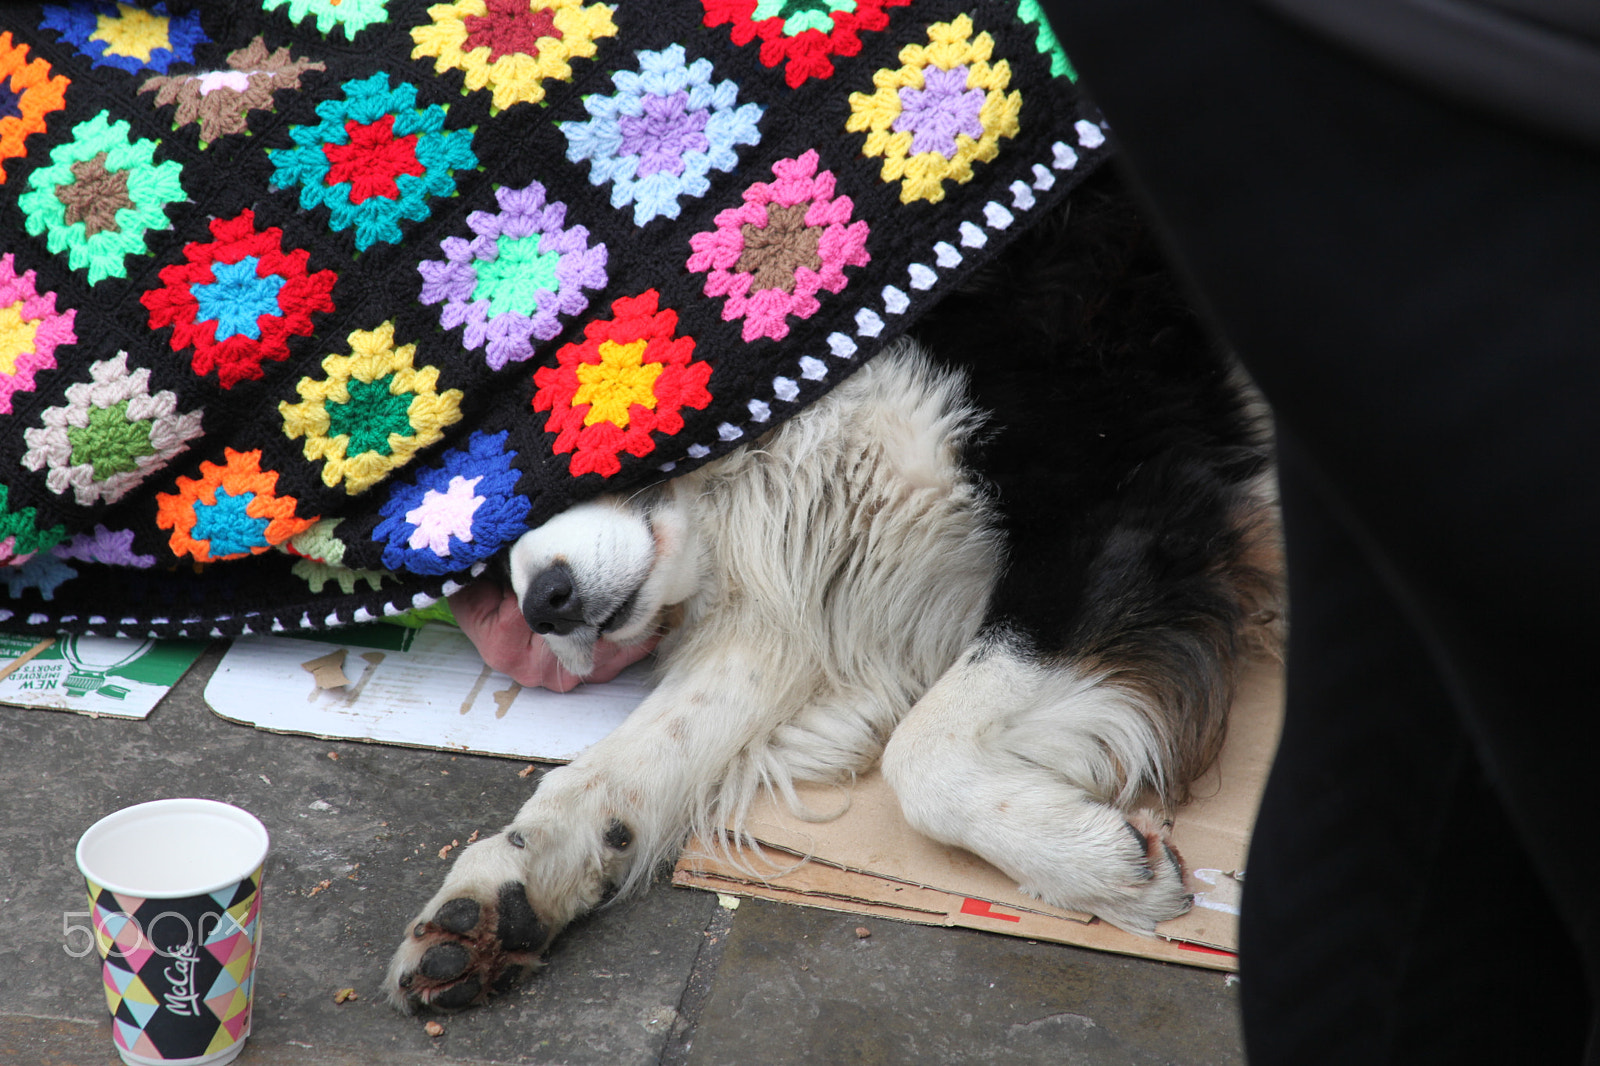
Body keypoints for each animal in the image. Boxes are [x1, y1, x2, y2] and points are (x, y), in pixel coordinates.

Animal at [380, 170, 1280, 1011]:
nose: (545, 604)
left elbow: (919, 752)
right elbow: (619, 766)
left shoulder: (1128, 494)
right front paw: (505, 887)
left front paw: (1093, 862)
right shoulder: (806, 598)